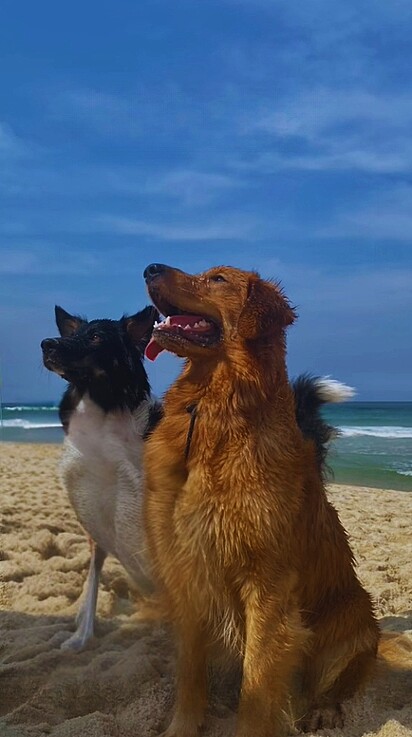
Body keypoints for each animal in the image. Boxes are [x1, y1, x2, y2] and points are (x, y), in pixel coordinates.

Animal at [41, 304, 161, 648]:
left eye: (96, 337)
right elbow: (93, 583)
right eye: (74, 334)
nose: (46, 344)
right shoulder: (94, 524)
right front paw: (80, 638)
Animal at [142, 262, 380, 732]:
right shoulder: (186, 570)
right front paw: (182, 727)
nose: (149, 268)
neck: (212, 412)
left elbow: (257, 684)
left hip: (354, 622)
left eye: (217, 279)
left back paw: (323, 709)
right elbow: (189, 673)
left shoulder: (267, 587)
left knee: (336, 684)